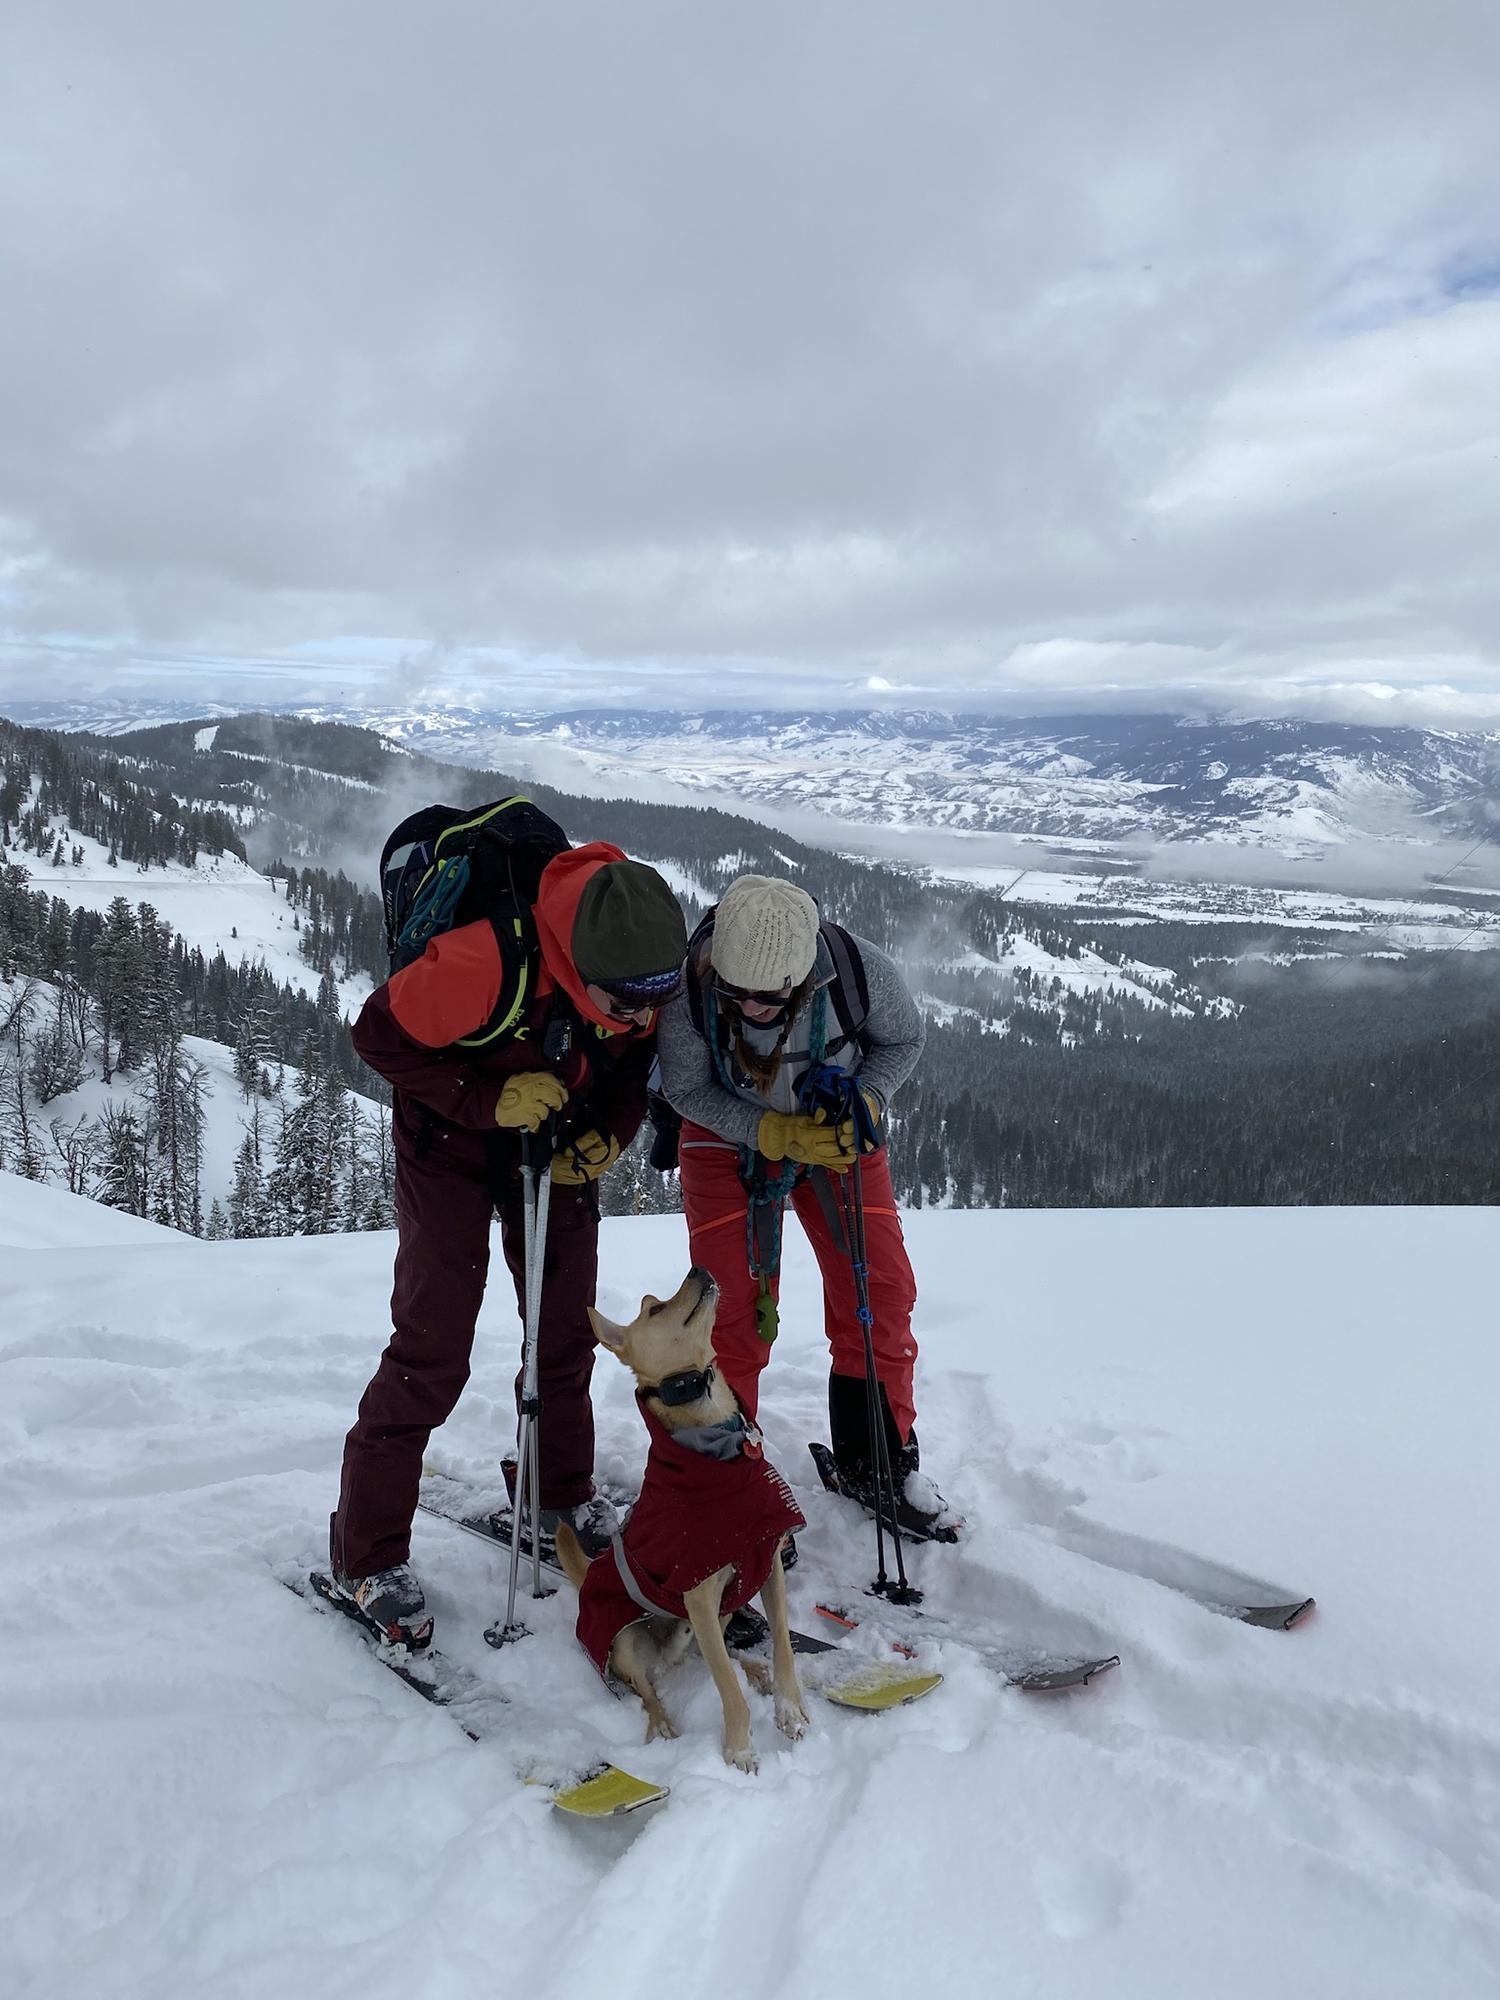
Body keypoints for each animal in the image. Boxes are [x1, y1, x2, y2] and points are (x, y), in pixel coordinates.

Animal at [552, 1264, 812, 1768]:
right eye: (654, 1310)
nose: (699, 1268)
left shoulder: (766, 1565)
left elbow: (784, 1649)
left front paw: (789, 1711)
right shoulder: (699, 1593)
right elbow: (728, 1692)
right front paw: (739, 1750)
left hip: (720, 1614)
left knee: (710, 1657)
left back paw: (755, 1670)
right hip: (627, 1638)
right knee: (648, 1683)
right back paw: (662, 1722)